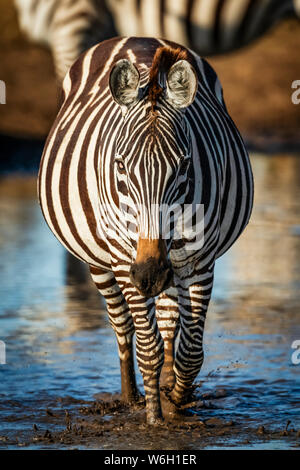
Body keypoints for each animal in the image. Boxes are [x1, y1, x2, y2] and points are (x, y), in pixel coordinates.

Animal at [37, 36, 253, 424]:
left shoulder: (200, 260)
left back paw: (166, 383)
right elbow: (146, 346)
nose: (150, 274)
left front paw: (177, 400)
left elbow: (190, 350)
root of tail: (138, 38)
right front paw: (154, 415)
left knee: (168, 323)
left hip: (173, 267)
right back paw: (131, 396)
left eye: (184, 166)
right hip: (101, 261)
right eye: (120, 165)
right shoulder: (126, 261)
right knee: (123, 328)